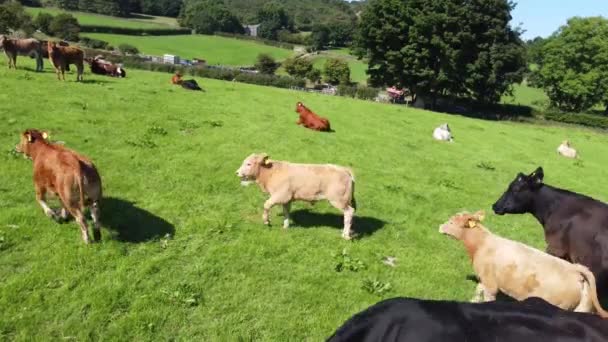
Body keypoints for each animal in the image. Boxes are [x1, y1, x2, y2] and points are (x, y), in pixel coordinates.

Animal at [440, 211, 608, 318]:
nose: (440, 226)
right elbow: (477, 290)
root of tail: (575, 268)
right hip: (583, 307)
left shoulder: (490, 283)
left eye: (451, 221)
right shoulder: (484, 278)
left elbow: (487, 297)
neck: (481, 244)